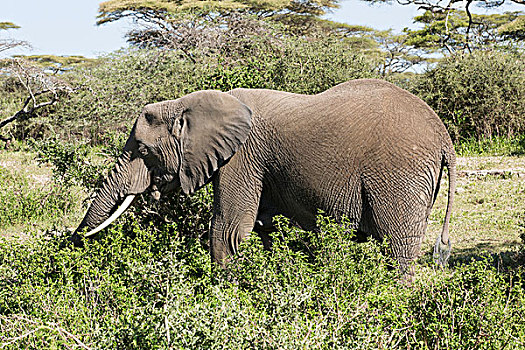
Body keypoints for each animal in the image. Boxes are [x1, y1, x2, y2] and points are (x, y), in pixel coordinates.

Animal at [73, 79, 454, 276]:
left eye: (142, 149)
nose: (69, 242)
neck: (193, 103)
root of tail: (442, 134)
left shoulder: (241, 158)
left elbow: (228, 228)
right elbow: (262, 229)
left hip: (399, 173)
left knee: (397, 245)